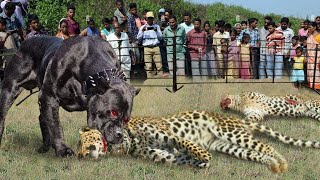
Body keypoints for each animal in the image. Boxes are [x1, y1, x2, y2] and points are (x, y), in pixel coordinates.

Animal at [0, 35, 140, 157]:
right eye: (113, 112)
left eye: (126, 119)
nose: (119, 134)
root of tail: (24, 42)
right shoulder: (49, 96)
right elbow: (56, 126)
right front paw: (63, 150)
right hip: (10, 89)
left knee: (42, 118)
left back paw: (45, 146)